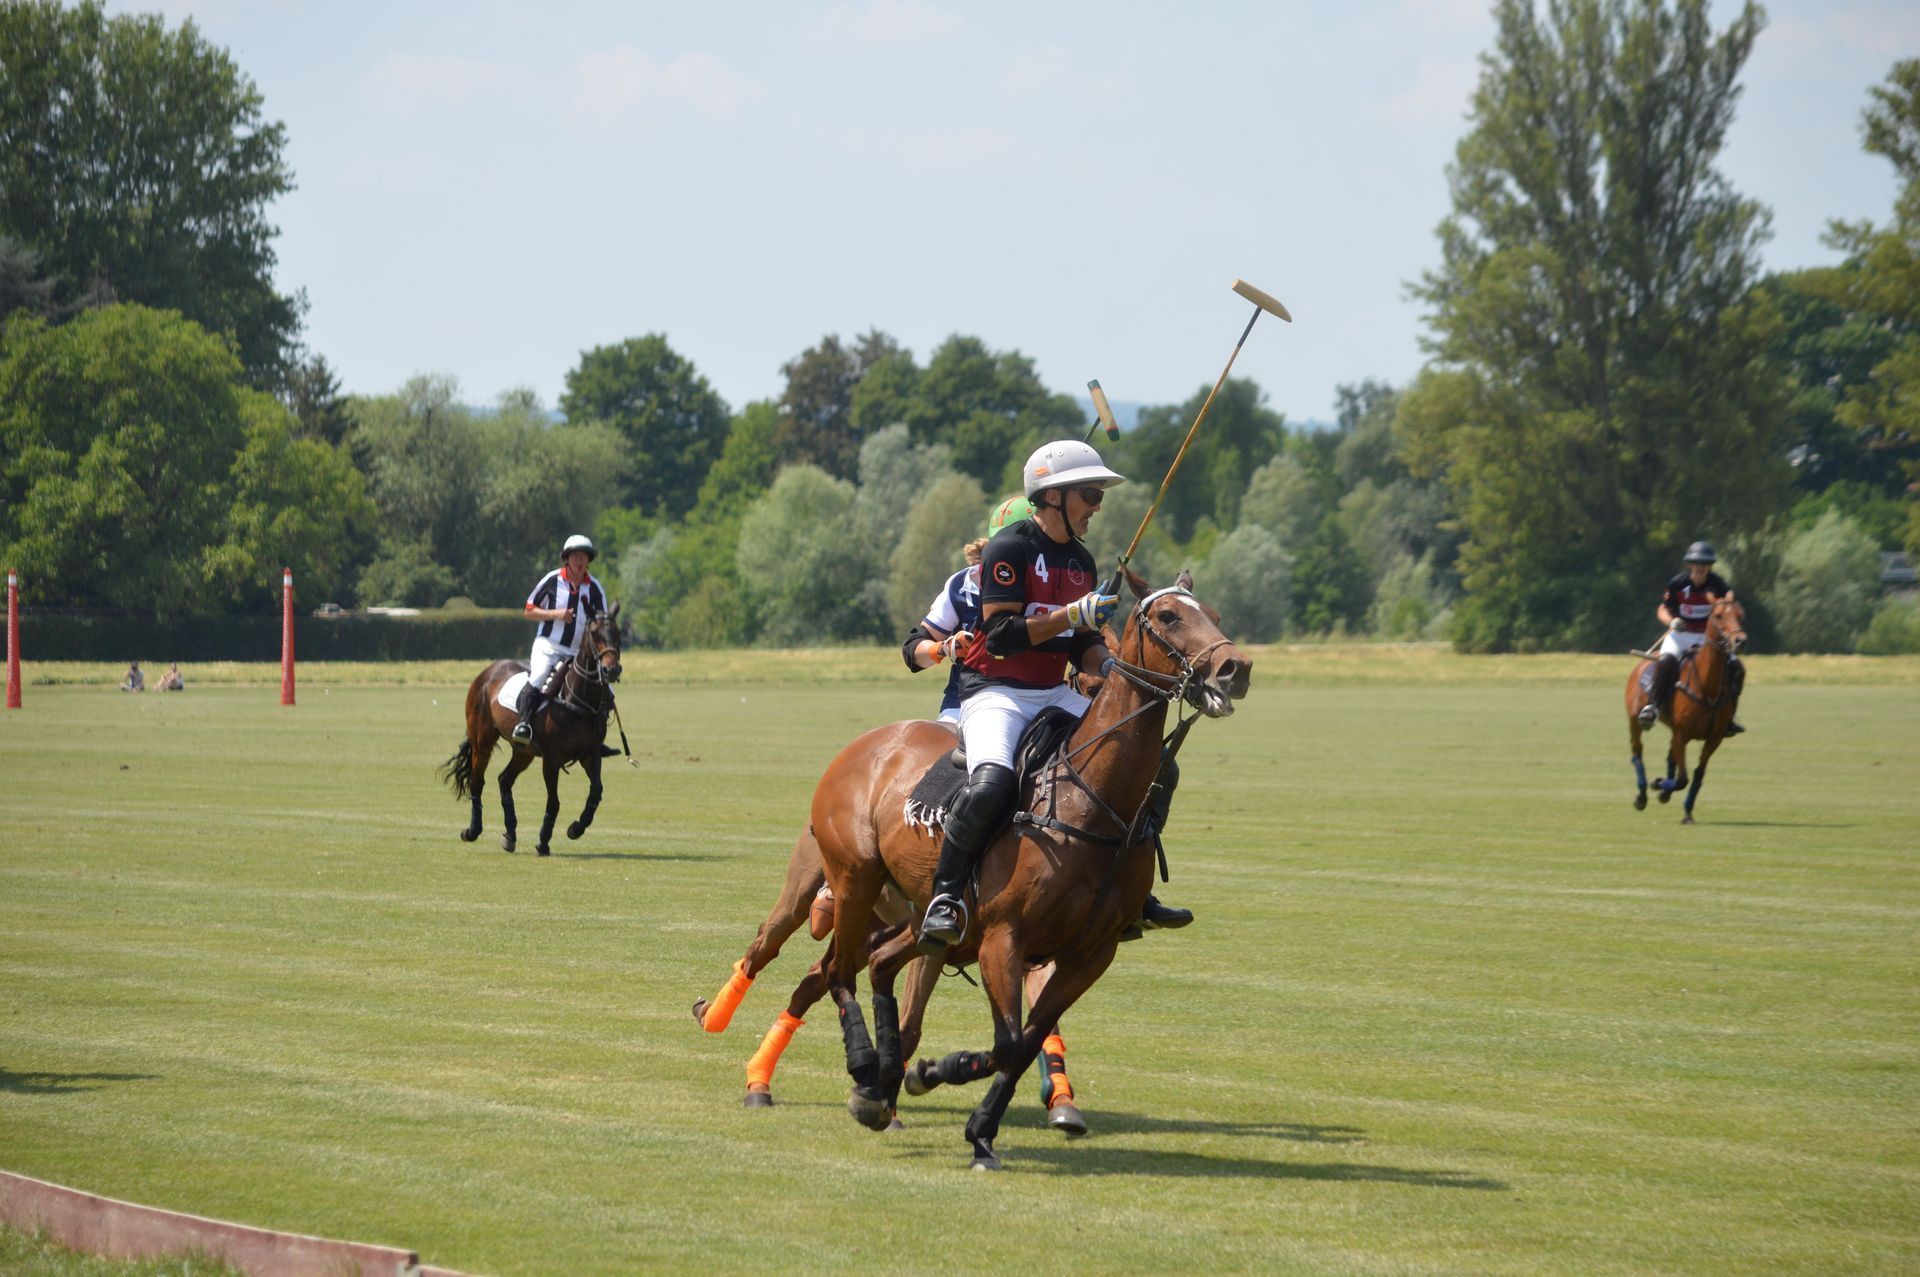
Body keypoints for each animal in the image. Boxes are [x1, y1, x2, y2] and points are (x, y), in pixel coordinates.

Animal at [439, 605, 624, 855]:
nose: (611, 669)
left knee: (504, 779)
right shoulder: (552, 759)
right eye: (594, 633)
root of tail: (487, 671)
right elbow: (554, 802)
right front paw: (543, 841)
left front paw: (576, 828)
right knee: (478, 782)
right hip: (482, 740)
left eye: (618, 632)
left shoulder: (591, 754)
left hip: (523, 751)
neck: (578, 700)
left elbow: (596, 791)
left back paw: (510, 834)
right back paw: (473, 831)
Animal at [811, 567, 1250, 1169]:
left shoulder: (1092, 954)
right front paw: (938, 1075)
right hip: (856, 878)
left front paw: (975, 1126)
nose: (1236, 668)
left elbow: (1025, 1044)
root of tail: (862, 745)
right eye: (1168, 616)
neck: (1092, 802)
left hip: (927, 916)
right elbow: (1008, 1041)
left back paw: (881, 1084)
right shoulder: (1004, 936)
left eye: (1215, 615)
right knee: (840, 970)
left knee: (880, 962)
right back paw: (865, 1070)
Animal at [1626, 595, 1746, 824]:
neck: (1707, 687)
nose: (1740, 641)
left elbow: (1698, 774)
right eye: (1719, 615)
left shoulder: (1713, 738)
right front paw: (1658, 785)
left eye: (1740, 614)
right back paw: (1642, 795)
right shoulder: (1683, 733)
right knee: (1637, 751)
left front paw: (1686, 811)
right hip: (1634, 719)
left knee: (1670, 756)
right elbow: (1682, 778)